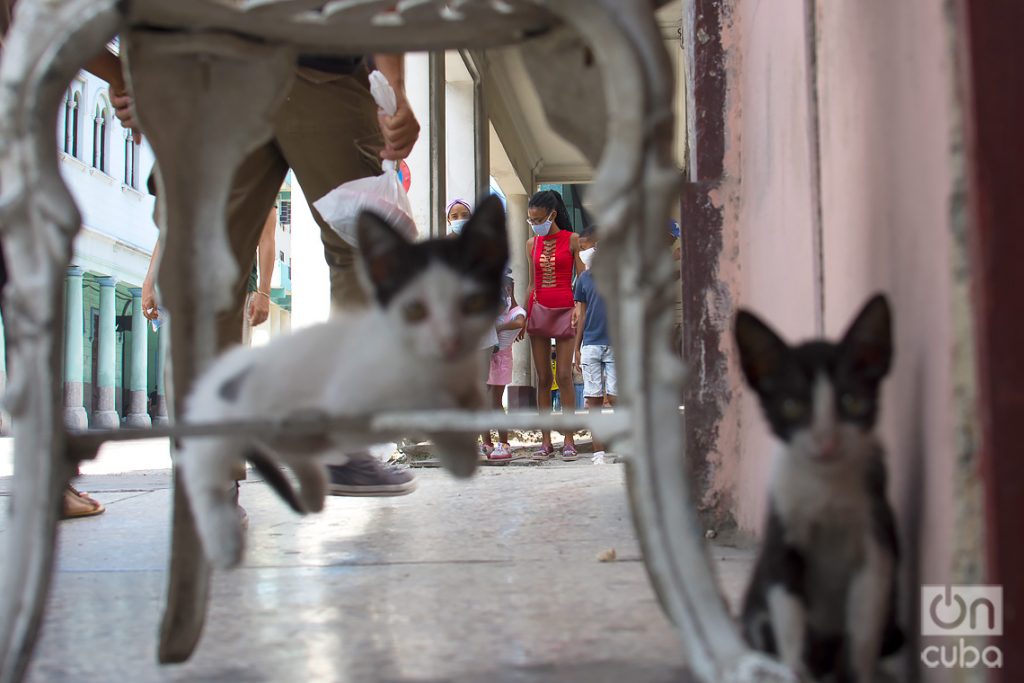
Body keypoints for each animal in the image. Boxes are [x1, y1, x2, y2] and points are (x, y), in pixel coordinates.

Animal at [180, 194, 512, 569]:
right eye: (414, 309)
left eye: (472, 302)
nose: (449, 341)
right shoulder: (352, 394)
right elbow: (416, 402)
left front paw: (462, 453)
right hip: (216, 434)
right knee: (205, 479)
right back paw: (224, 537)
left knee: (292, 450)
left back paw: (312, 488)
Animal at [737, 294, 905, 683]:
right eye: (791, 406)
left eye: (852, 401)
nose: (826, 442)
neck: (825, 488)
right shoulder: (781, 535)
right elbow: (789, 616)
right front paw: (796, 669)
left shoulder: (876, 539)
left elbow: (864, 627)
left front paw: (859, 673)